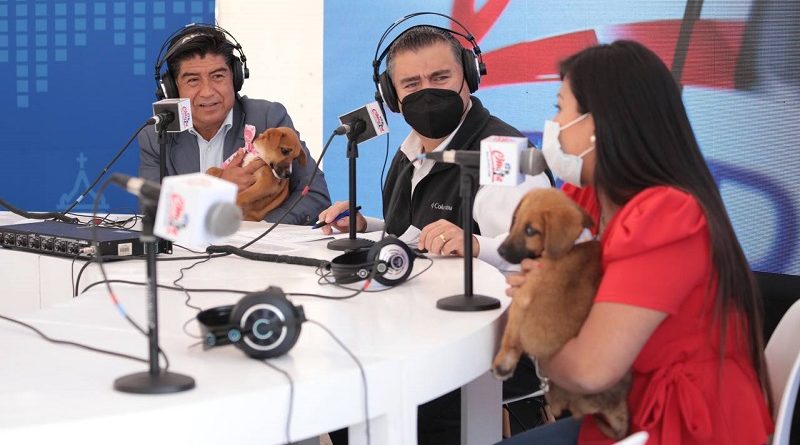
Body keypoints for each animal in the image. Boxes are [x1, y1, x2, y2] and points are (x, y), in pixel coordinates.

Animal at [490, 186, 628, 438]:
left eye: (531, 230)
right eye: (515, 220)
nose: (500, 251)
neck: (572, 245)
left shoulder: (522, 299)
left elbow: (510, 338)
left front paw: (503, 364)